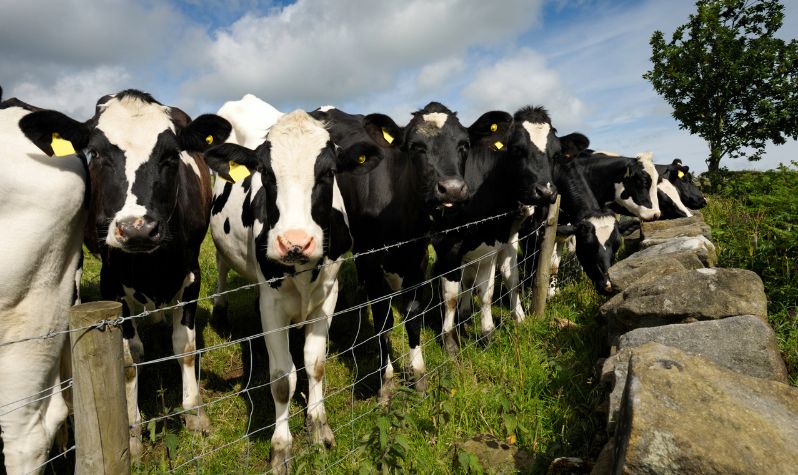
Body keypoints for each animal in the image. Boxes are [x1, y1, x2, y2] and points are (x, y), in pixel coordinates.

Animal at [18, 90, 233, 458]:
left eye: (171, 155)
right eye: (98, 153)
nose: (137, 229)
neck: (153, 265)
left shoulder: (192, 275)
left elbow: (186, 346)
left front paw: (195, 414)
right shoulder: (111, 284)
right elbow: (130, 355)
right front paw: (132, 431)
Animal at [206, 109, 382, 474]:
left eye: (328, 172)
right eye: (266, 172)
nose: (295, 242)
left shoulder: (327, 297)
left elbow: (315, 364)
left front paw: (319, 429)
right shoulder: (271, 306)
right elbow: (281, 379)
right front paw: (280, 448)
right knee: (221, 264)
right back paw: (220, 309)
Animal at [312, 103, 472, 402]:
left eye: (463, 145)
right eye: (416, 146)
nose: (453, 189)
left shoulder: (417, 258)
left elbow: (413, 314)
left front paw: (418, 374)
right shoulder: (370, 258)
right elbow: (383, 321)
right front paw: (386, 383)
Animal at [432, 107, 564, 354]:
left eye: (557, 153)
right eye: (517, 149)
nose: (545, 192)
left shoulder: (501, 238)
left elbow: (506, 280)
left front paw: (518, 318)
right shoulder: (447, 245)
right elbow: (451, 294)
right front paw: (450, 341)